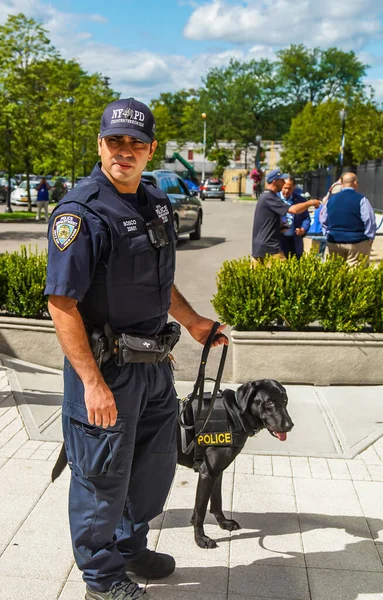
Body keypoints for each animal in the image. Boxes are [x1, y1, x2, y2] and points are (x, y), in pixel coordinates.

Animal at [50, 380, 292, 548]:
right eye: (269, 402)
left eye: (285, 401)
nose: (290, 425)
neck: (234, 413)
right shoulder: (207, 473)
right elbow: (200, 511)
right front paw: (201, 539)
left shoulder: (216, 471)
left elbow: (216, 502)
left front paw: (223, 524)